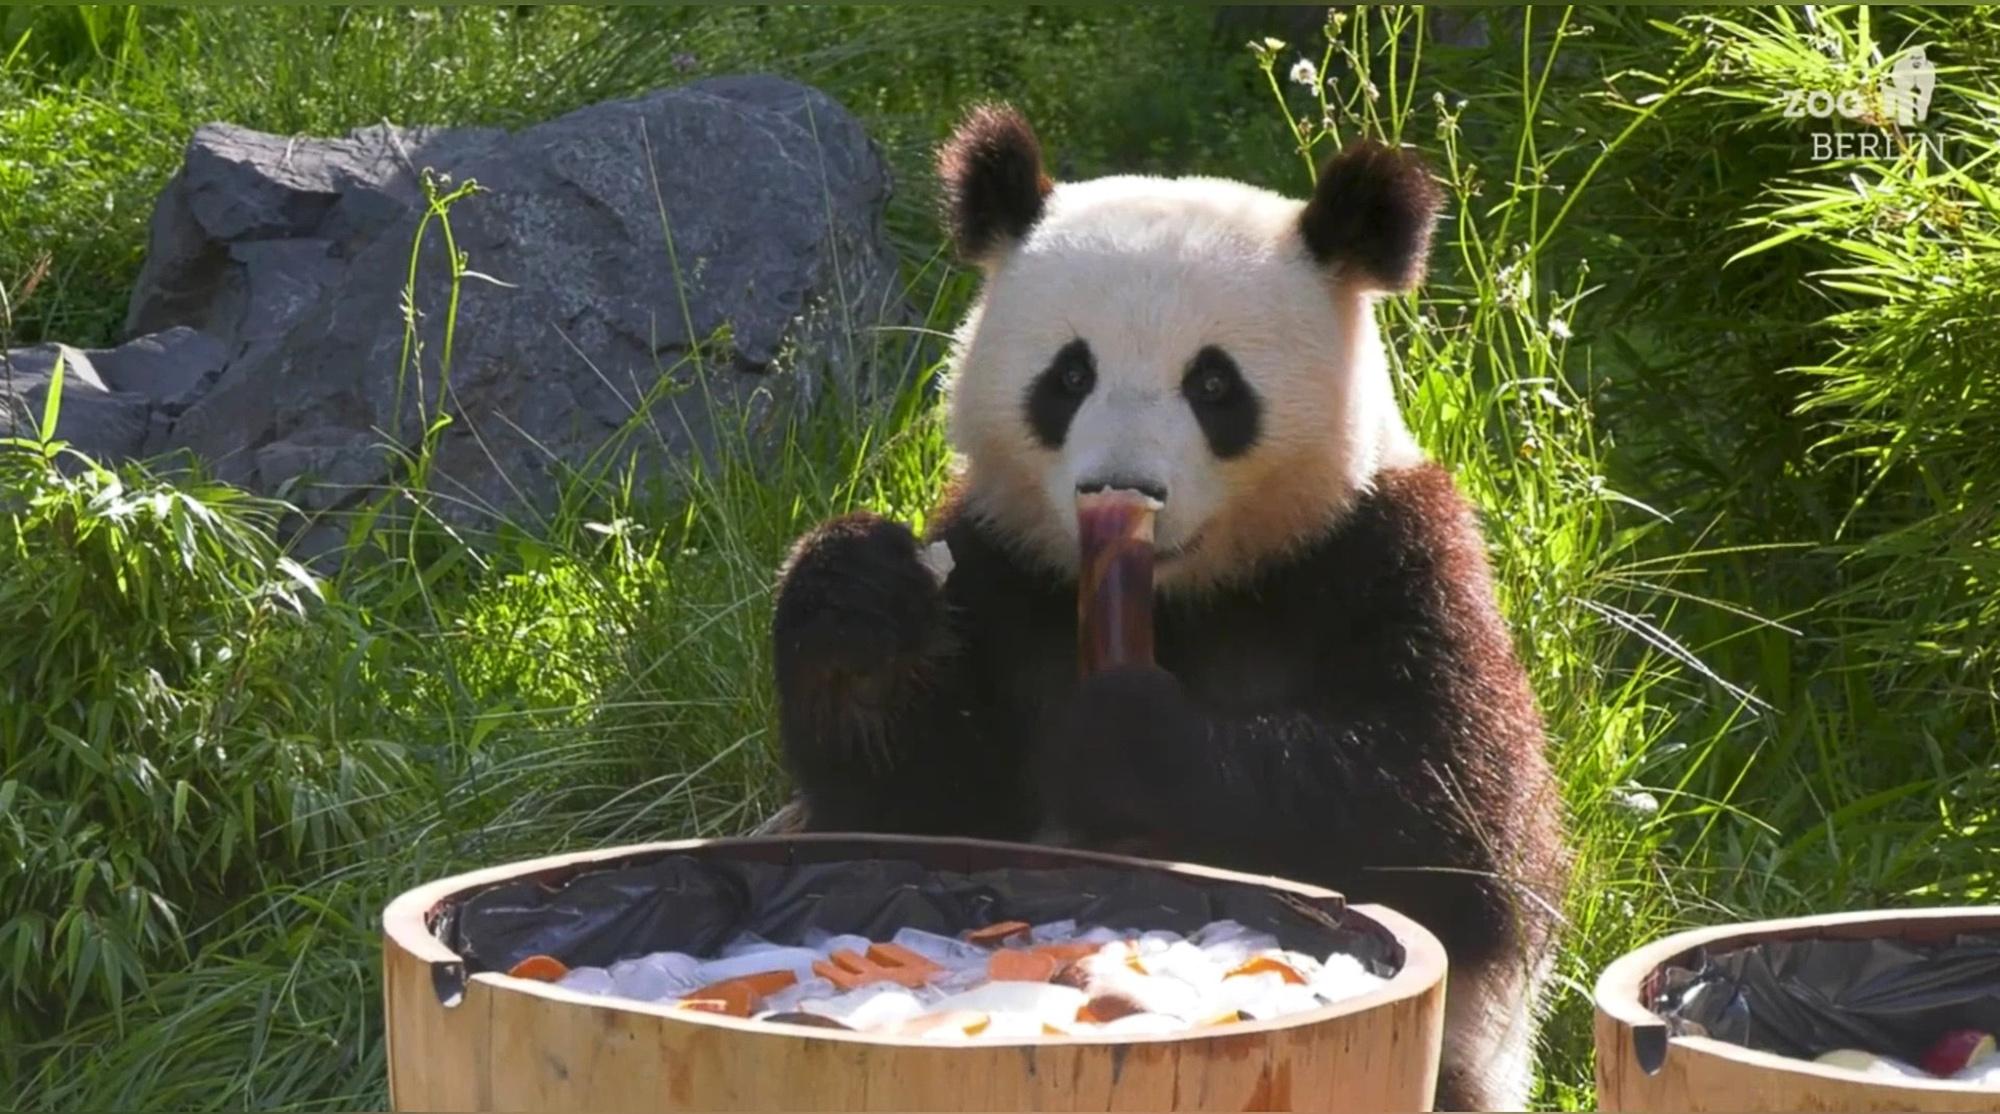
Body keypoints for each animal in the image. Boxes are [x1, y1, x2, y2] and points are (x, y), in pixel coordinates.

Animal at [772, 106, 1568, 1112]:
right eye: (1069, 377)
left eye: (1215, 386)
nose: (1123, 486)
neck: (1181, 593)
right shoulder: (1006, 570)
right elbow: (909, 811)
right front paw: (858, 601)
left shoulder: (1392, 556)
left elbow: (1450, 815)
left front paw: (1121, 735)